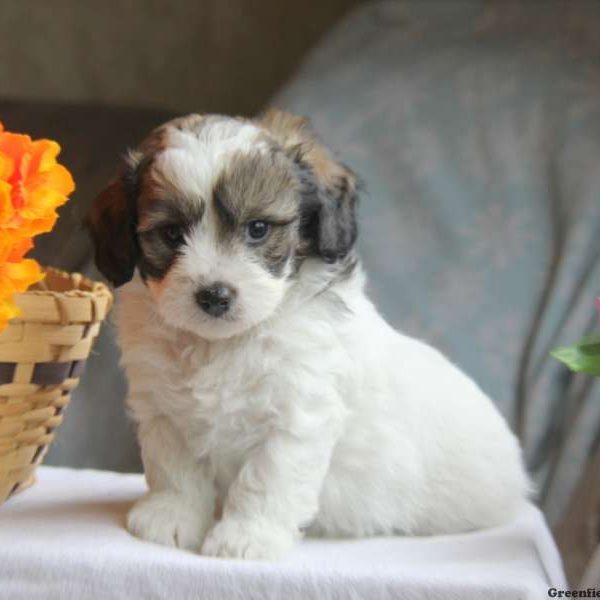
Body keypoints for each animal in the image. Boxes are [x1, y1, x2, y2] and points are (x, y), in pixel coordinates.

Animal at [86, 110, 528, 560]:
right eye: (173, 234)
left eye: (258, 228)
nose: (214, 295)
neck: (222, 344)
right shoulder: (162, 409)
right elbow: (173, 467)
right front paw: (171, 516)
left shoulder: (296, 415)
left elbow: (267, 477)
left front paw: (247, 536)